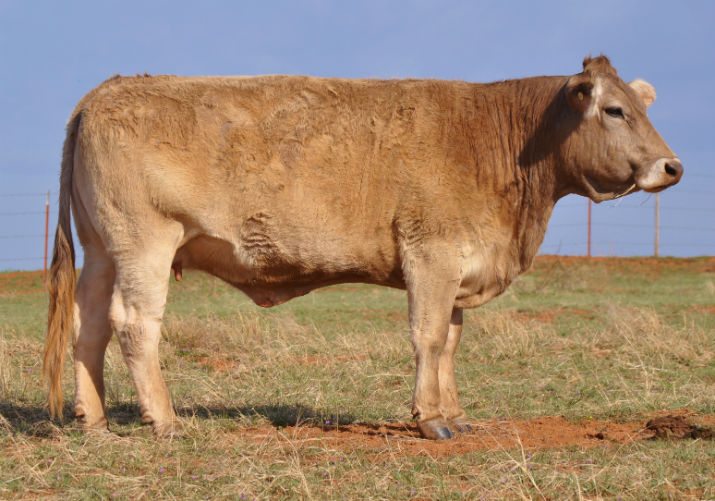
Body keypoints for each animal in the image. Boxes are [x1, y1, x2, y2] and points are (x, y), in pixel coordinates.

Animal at [43, 55, 682, 440]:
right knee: (134, 324)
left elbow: (450, 342)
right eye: (614, 110)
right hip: (144, 243)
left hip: (102, 250)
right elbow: (428, 337)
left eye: (642, 107)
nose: (671, 166)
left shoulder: (458, 267)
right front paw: (430, 419)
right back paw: (166, 419)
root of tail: (108, 89)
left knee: (89, 326)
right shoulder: (431, 253)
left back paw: (94, 419)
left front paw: (454, 414)